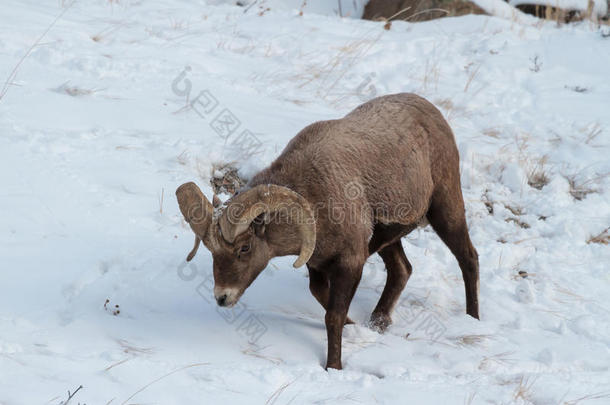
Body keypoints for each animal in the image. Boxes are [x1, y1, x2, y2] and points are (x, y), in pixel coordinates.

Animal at [176, 94, 480, 370]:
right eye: (211, 251)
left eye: (244, 248)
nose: (222, 298)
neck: (317, 198)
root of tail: (431, 111)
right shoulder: (318, 264)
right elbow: (322, 298)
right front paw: (354, 328)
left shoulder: (351, 262)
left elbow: (333, 316)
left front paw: (333, 366)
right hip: (388, 240)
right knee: (402, 270)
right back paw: (378, 323)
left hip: (445, 208)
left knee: (468, 258)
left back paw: (473, 319)